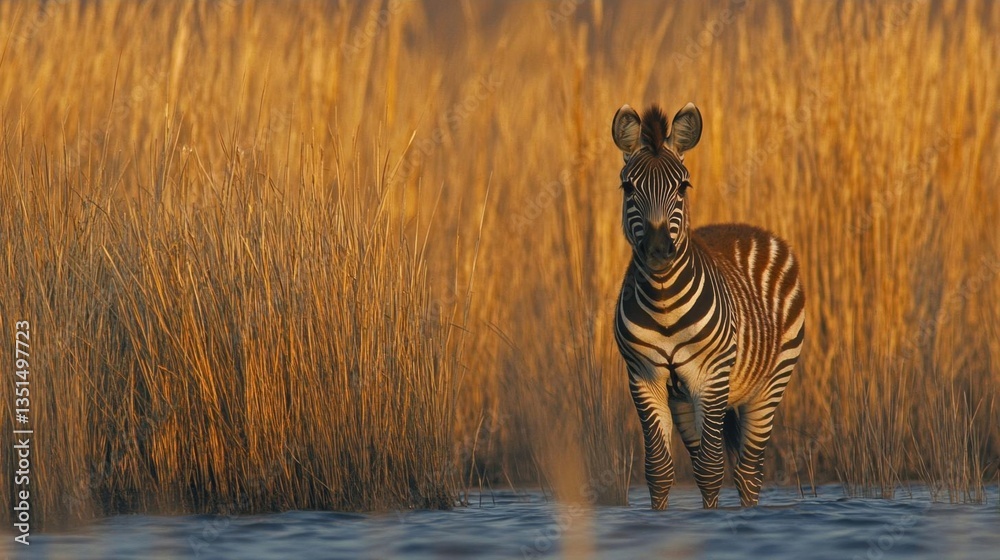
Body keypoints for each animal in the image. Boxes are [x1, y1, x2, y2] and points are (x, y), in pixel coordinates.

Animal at [611, 102, 805, 509]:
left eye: (682, 186)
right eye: (628, 187)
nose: (658, 250)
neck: (664, 303)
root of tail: (746, 227)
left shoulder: (711, 375)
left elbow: (712, 468)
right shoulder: (643, 377)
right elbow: (660, 470)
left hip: (771, 381)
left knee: (748, 471)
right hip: (684, 401)